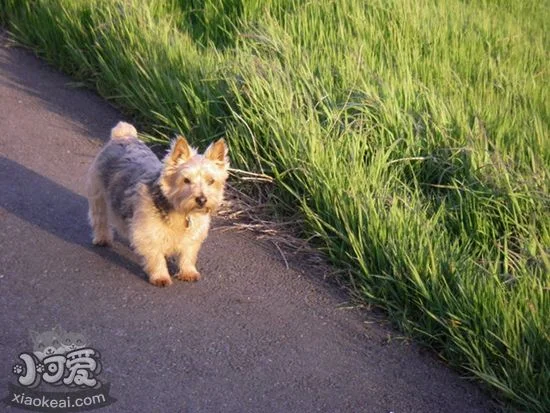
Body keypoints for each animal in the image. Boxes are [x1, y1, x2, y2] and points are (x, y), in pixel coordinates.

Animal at [87, 120, 230, 284]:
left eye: (211, 181)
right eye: (186, 180)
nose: (202, 199)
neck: (180, 211)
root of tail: (123, 135)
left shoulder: (193, 234)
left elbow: (188, 253)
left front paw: (188, 271)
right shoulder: (148, 233)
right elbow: (155, 256)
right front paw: (160, 276)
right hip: (98, 194)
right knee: (100, 218)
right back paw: (102, 238)